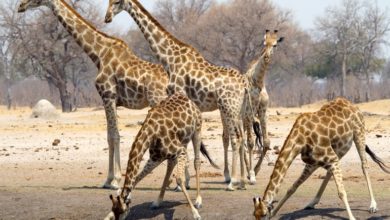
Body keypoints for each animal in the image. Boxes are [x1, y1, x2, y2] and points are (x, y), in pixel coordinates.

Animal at [17, 0, 168, 189]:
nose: (21, 6)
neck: (99, 54)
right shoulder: (111, 100)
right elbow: (110, 136)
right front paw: (108, 180)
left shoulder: (108, 95)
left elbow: (114, 136)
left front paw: (115, 181)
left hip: (158, 101)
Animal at [103, 0, 250, 190]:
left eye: (116, 2)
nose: (107, 18)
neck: (169, 57)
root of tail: (244, 84)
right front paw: (182, 182)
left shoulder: (179, 94)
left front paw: (182, 183)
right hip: (237, 109)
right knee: (241, 138)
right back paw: (244, 181)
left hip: (229, 107)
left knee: (236, 138)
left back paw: (233, 182)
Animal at [244, 29, 284, 184]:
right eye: (264, 43)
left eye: (275, 45)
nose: (266, 57)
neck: (258, 81)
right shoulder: (249, 112)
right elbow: (250, 143)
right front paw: (251, 175)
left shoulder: (263, 112)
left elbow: (266, 142)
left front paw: (255, 170)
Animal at [253, 98, 390, 220]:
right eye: (254, 215)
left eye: (263, 214)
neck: (300, 138)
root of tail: (353, 105)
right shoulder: (314, 162)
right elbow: (292, 187)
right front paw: (274, 213)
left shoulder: (330, 158)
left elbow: (341, 192)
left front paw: (352, 217)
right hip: (339, 149)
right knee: (330, 172)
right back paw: (311, 203)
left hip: (359, 134)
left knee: (364, 165)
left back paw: (373, 205)